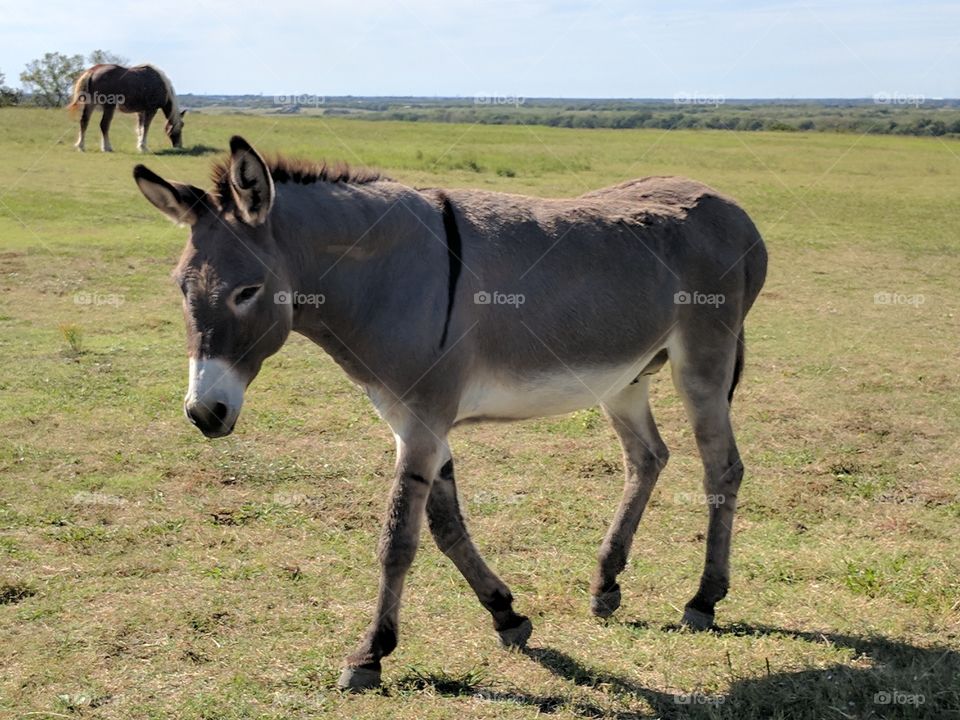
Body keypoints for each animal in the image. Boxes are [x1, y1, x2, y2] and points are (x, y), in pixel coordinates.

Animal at [131, 136, 768, 692]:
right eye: (180, 287)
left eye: (248, 291)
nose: (204, 413)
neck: (387, 279)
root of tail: (732, 206)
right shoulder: (410, 422)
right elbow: (445, 525)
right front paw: (506, 614)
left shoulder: (422, 422)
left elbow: (398, 539)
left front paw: (370, 655)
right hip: (625, 377)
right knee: (648, 458)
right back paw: (607, 583)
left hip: (703, 362)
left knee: (722, 469)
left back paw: (703, 599)